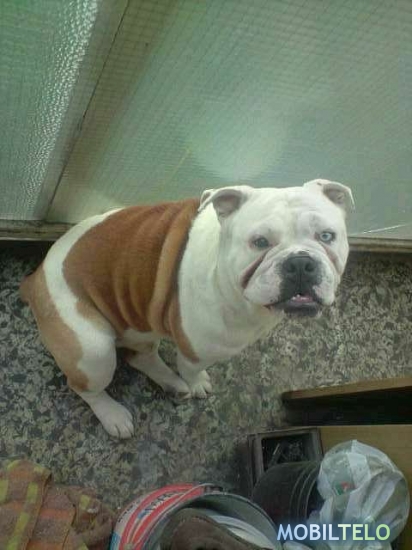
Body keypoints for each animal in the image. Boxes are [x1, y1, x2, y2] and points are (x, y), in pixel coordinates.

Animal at [20, 179, 354, 438]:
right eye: (259, 242)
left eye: (327, 236)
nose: (300, 263)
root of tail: (34, 278)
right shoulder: (195, 349)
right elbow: (192, 369)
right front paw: (196, 384)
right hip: (93, 350)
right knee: (86, 386)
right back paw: (114, 415)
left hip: (137, 322)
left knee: (140, 355)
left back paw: (170, 383)